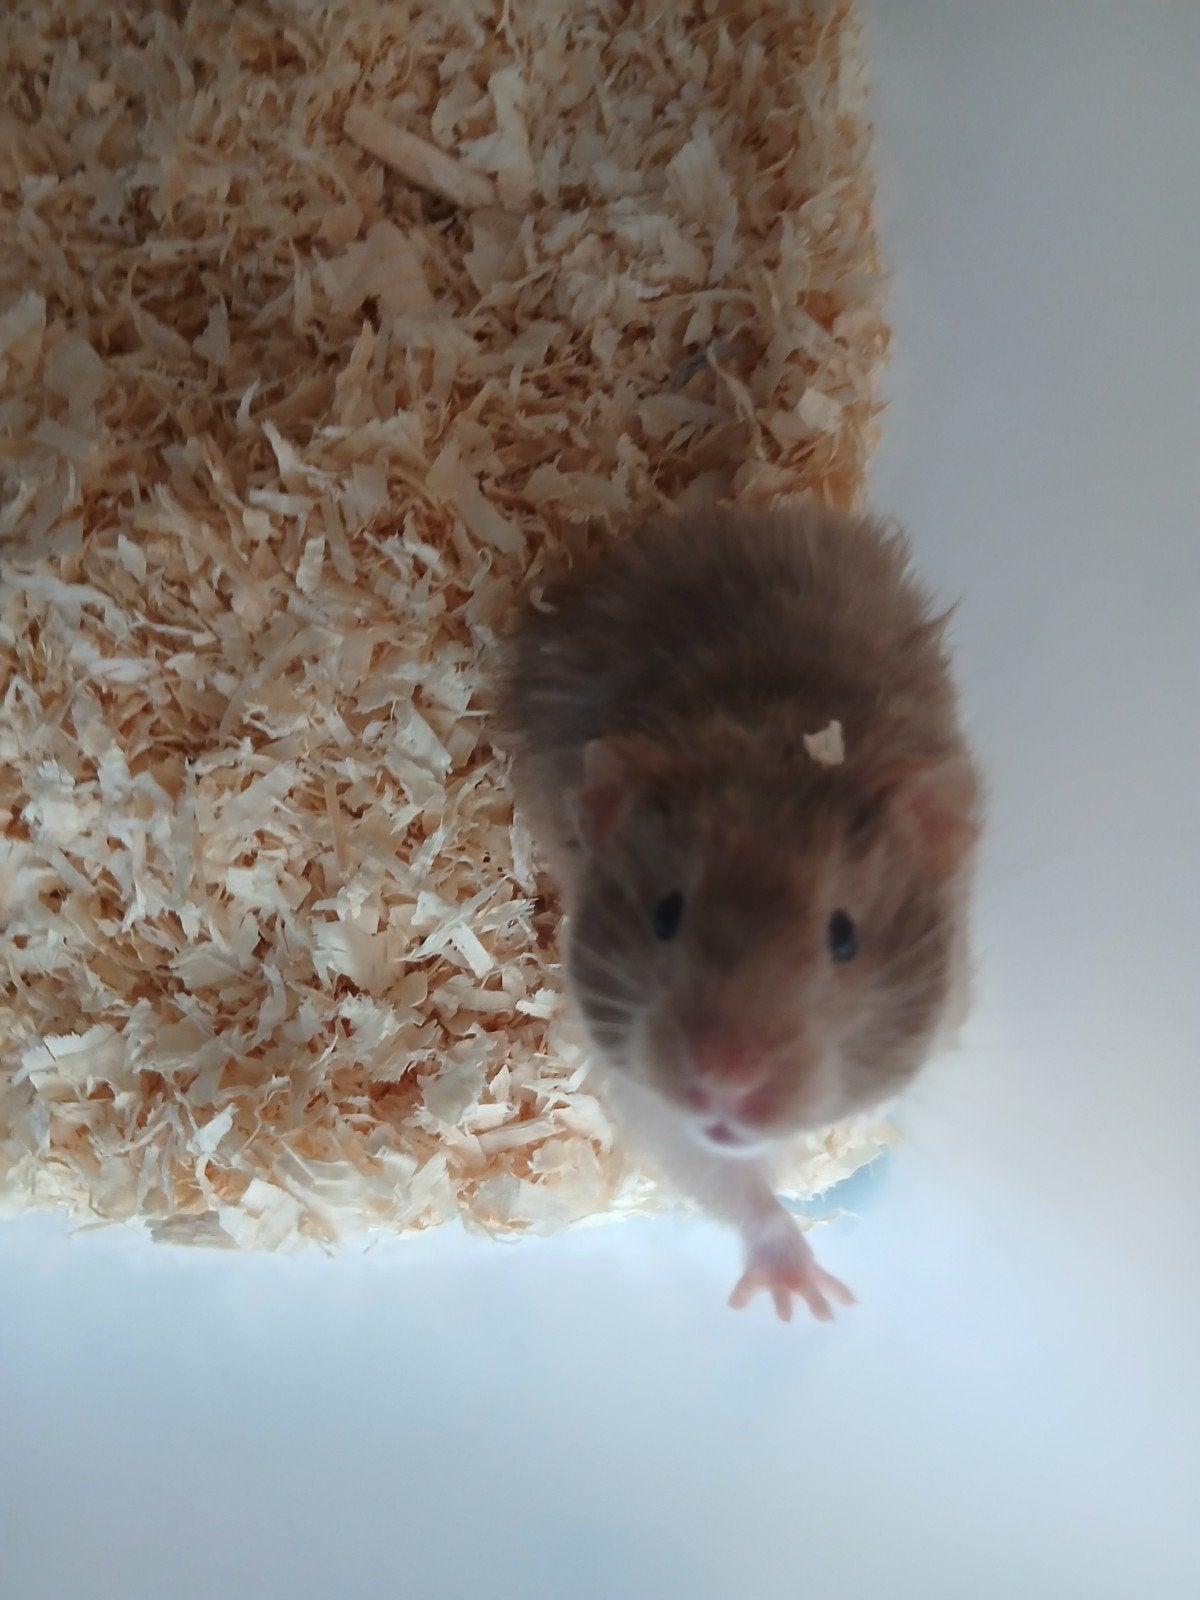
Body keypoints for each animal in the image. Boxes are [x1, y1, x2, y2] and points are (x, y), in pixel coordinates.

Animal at [495, 502, 981, 1321]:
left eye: (844, 937)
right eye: (665, 915)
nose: (724, 1080)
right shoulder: (651, 1105)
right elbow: (733, 1187)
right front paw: (804, 1300)